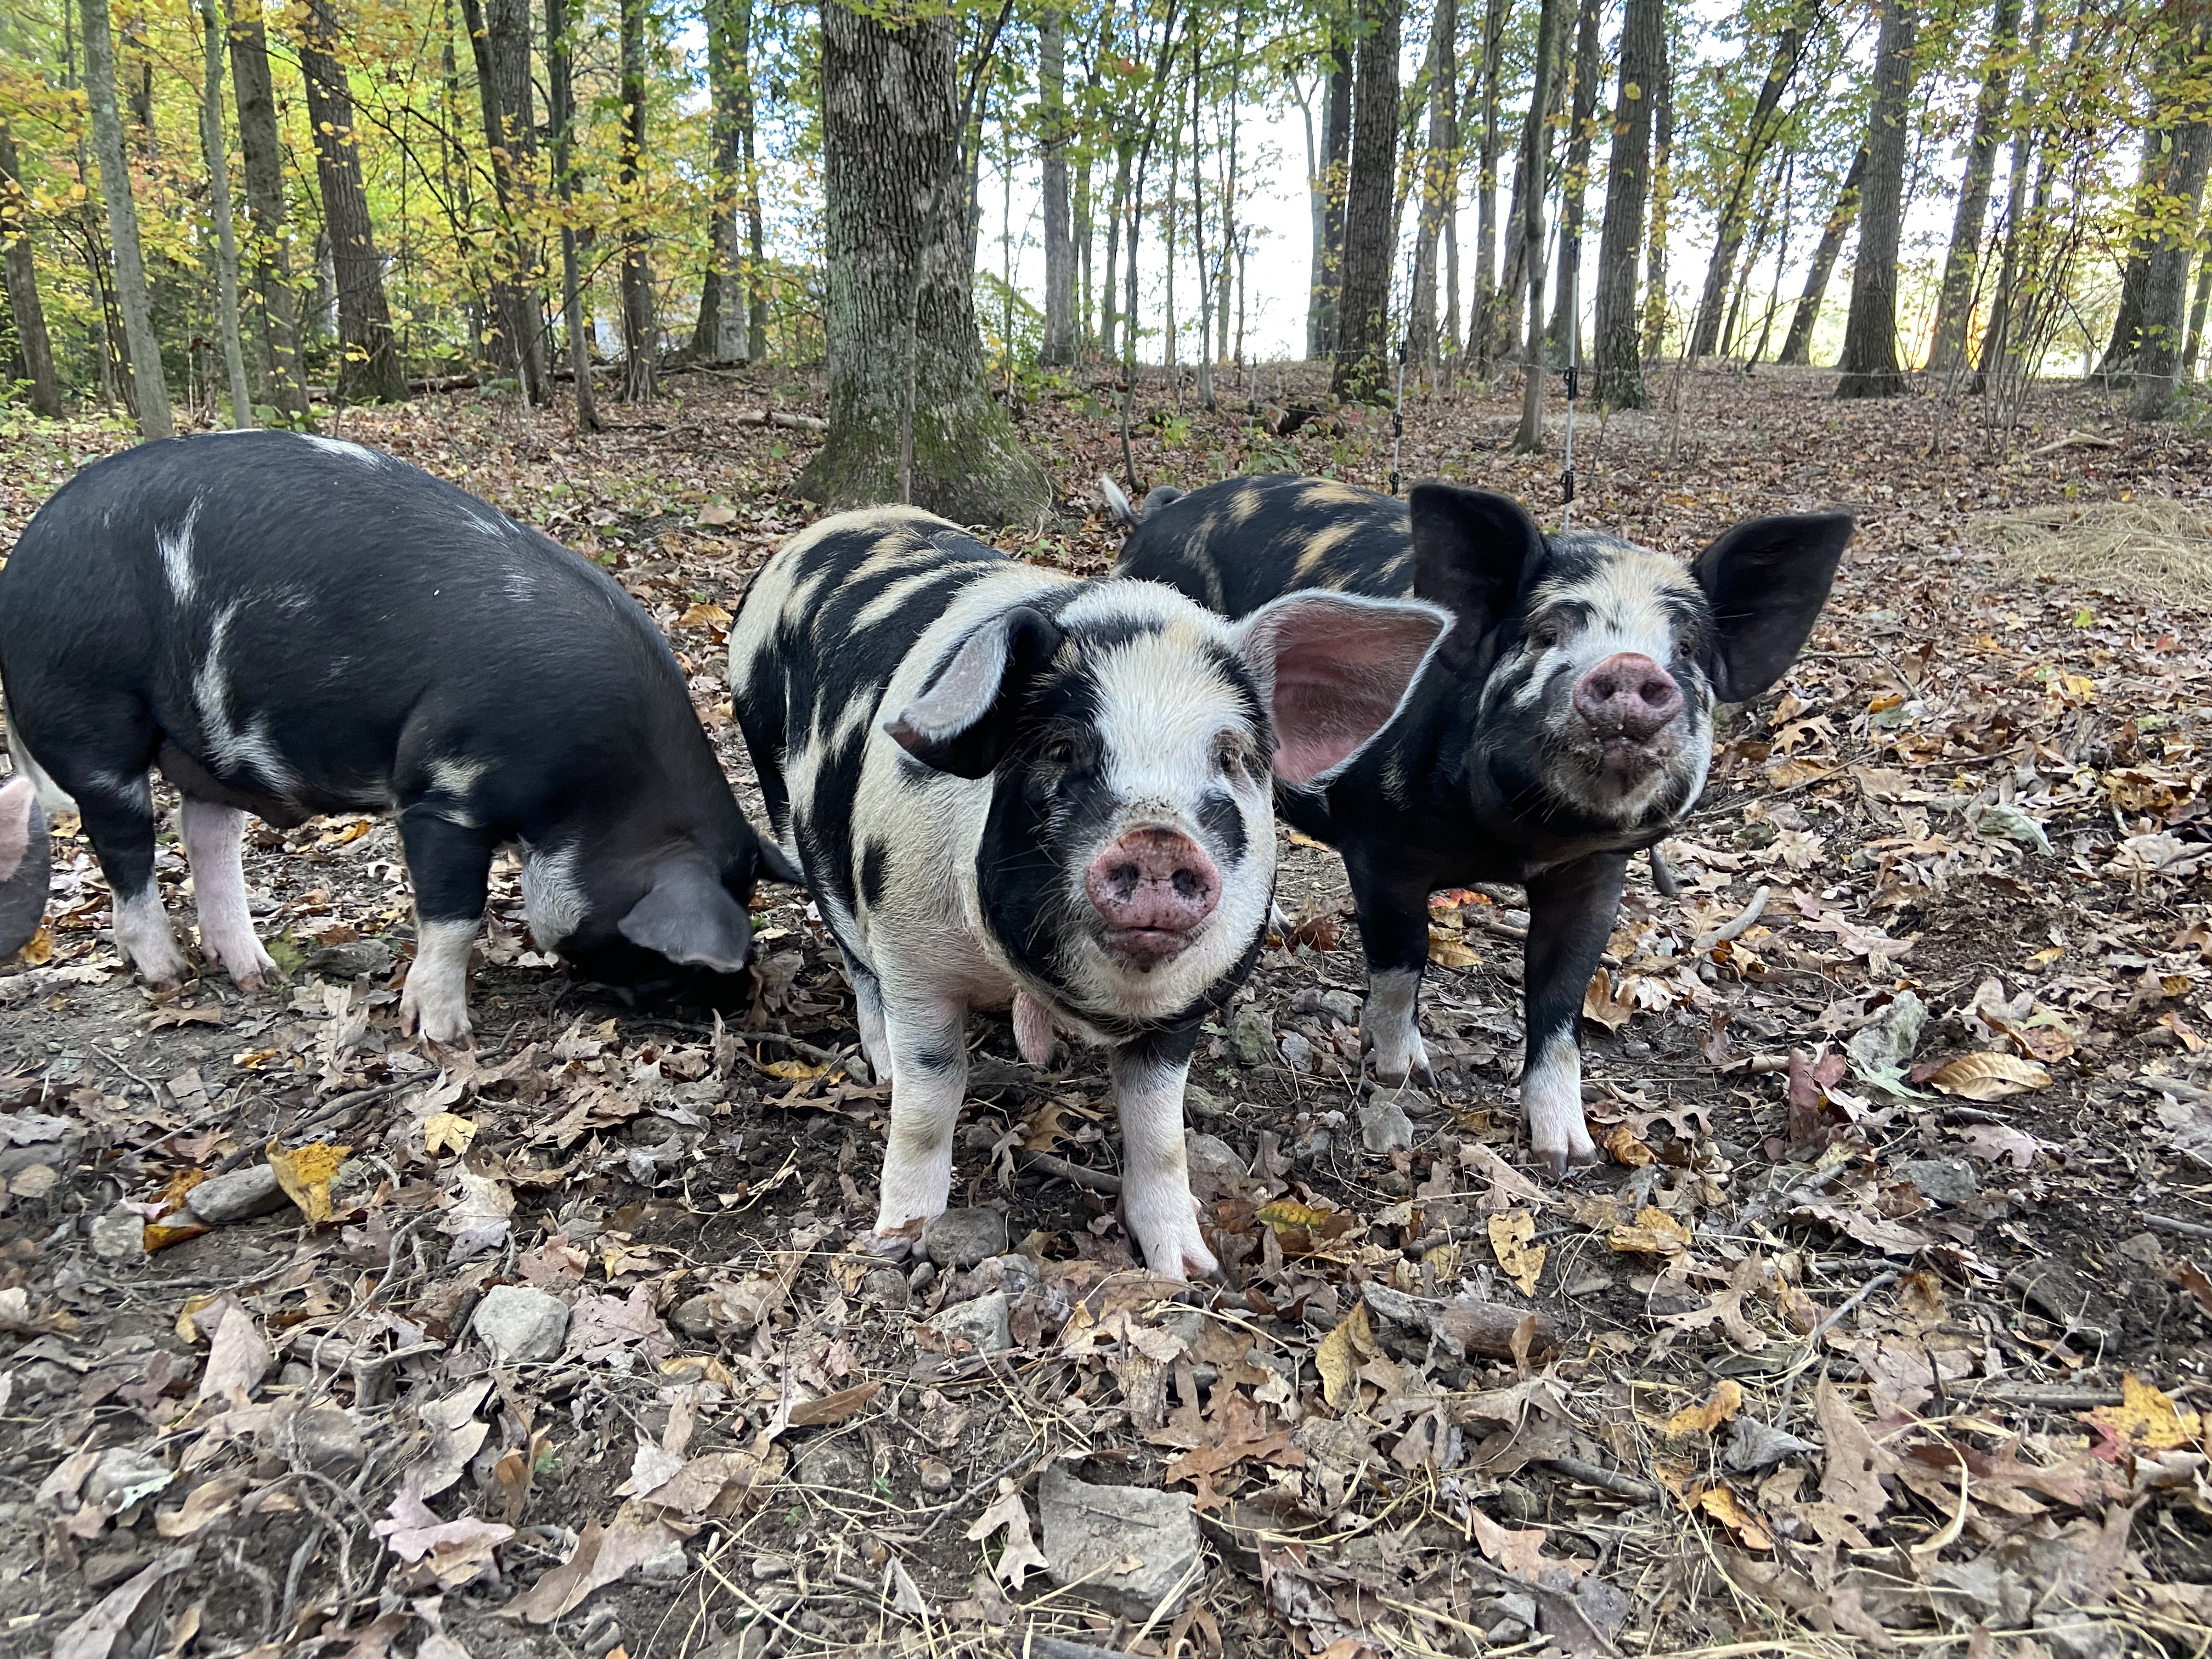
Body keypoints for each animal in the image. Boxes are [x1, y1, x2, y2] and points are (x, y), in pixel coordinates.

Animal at [0, 431, 796, 1041]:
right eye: (664, 957)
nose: (729, 1002)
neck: (600, 794)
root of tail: (24, 555)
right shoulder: (445, 790)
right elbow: (454, 914)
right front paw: (441, 1033)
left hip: (207, 747)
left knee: (206, 833)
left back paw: (255, 974)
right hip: (90, 717)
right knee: (125, 844)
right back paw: (169, 975)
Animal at [728, 506, 1447, 1278]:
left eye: (1229, 757)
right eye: (1061, 749)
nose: (1158, 838)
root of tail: (823, 531)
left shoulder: (1185, 1004)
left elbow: (1159, 1128)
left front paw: (1188, 1270)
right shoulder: (912, 950)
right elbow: (929, 1100)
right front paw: (900, 1241)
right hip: (785, 800)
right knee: (851, 952)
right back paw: (881, 1067)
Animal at [1107, 474, 1852, 1173]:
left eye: (1689, 648)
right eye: (1547, 632)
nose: (1630, 667)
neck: (1521, 841)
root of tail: (1155, 519)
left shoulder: (1596, 871)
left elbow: (1562, 997)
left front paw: (1567, 1157)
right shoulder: (1381, 848)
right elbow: (1403, 959)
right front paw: (1405, 1074)